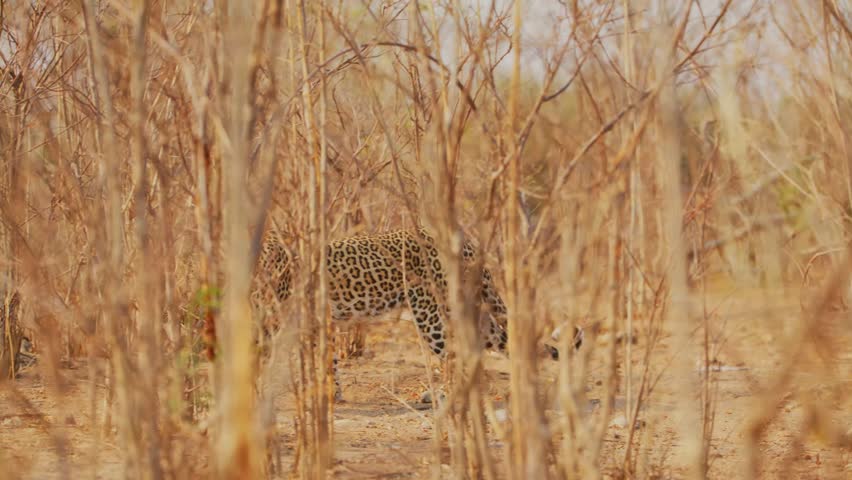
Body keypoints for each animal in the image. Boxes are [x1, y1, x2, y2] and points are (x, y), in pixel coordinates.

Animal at [250, 227, 584, 401]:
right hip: (476, 314)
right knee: (499, 343)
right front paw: (331, 393)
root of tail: (468, 244)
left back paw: (445, 397)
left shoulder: (272, 324)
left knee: (456, 353)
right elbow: (328, 359)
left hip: (431, 314)